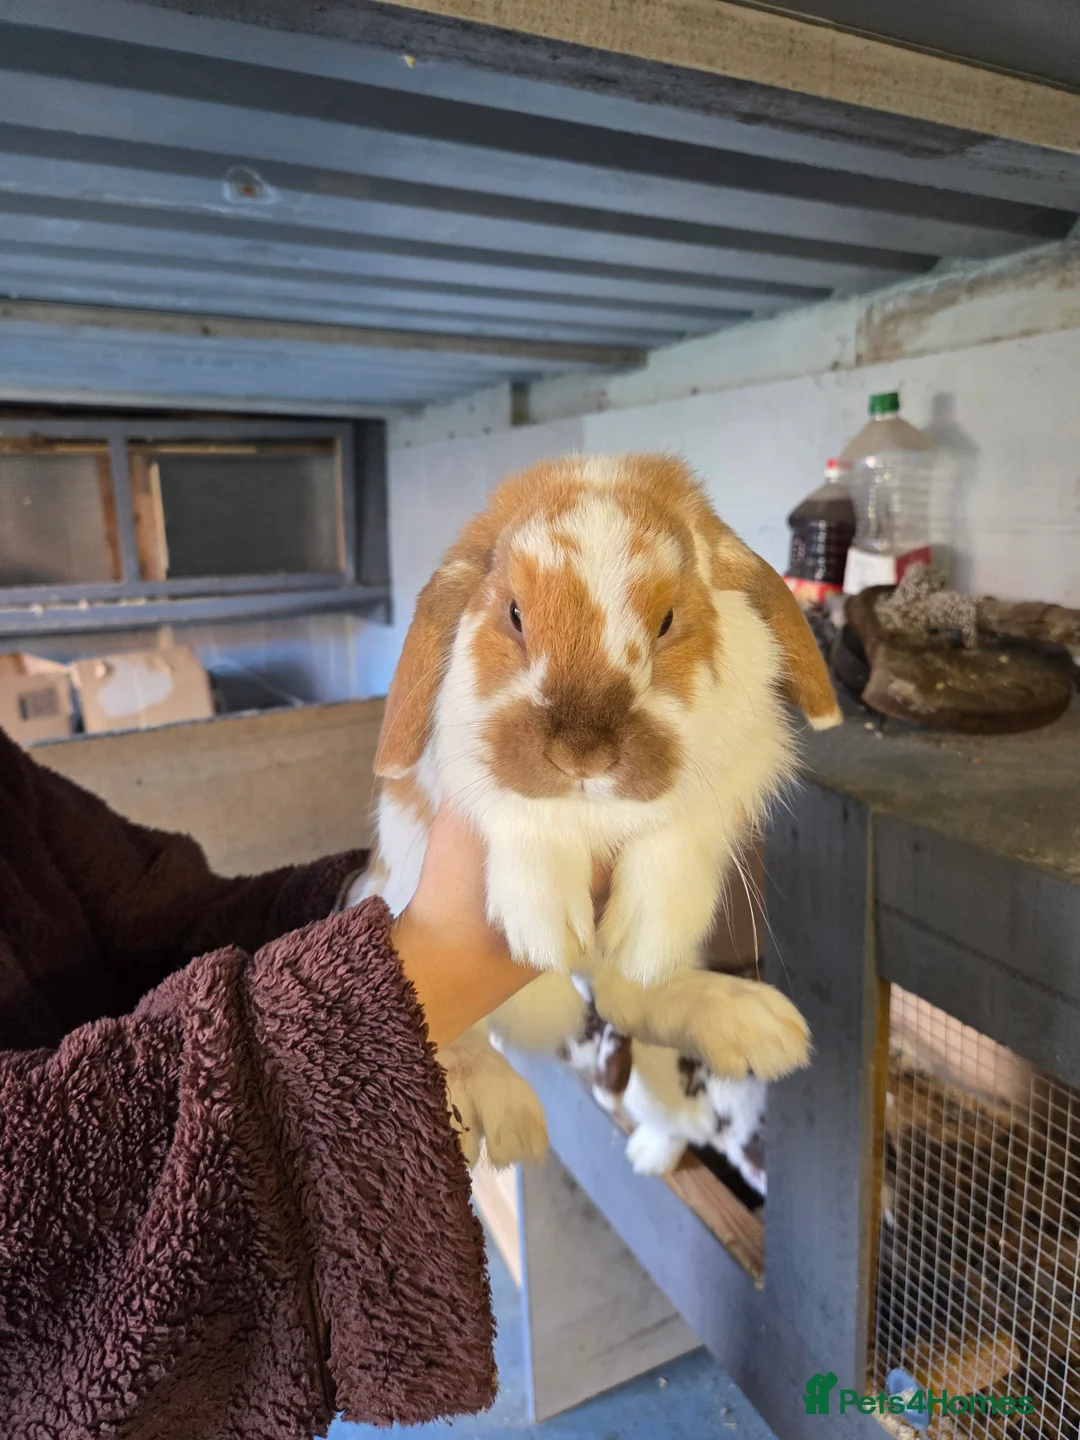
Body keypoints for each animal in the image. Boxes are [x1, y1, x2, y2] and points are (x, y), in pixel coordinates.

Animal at [362, 453, 840, 1166]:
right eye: (514, 614)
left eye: (667, 619)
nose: (582, 754)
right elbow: (517, 809)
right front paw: (542, 925)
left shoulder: (736, 763)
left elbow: (679, 826)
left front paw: (649, 926)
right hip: (389, 889)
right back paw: (498, 1111)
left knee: (628, 996)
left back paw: (746, 1021)